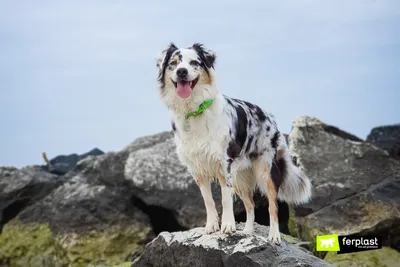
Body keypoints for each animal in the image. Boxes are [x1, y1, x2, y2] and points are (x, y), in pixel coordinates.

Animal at [156, 42, 312, 245]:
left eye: (194, 63)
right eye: (173, 63)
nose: (182, 72)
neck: (195, 110)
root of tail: (270, 117)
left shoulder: (224, 164)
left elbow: (225, 198)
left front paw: (228, 226)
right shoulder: (198, 169)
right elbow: (208, 200)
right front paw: (211, 226)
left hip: (265, 170)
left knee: (273, 205)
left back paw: (274, 236)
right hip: (240, 177)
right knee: (251, 204)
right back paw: (247, 232)